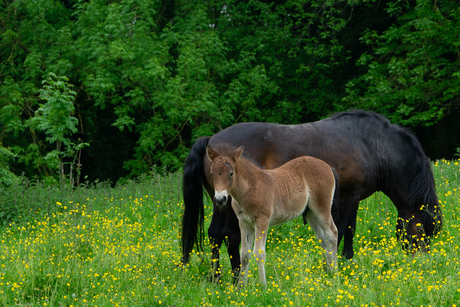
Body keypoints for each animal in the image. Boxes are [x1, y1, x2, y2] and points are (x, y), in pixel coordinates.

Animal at [181, 111, 442, 282]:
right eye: (421, 231)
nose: (422, 265)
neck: (372, 145)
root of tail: (211, 140)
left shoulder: (351, 199)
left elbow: (347, 231)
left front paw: (343, 263)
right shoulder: (348, 197)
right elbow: (343, 231)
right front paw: (337, 265)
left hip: (225, 204)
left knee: (224, 237)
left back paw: (231, 277)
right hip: (223, 204)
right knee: (220, 235)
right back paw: (222, 278)